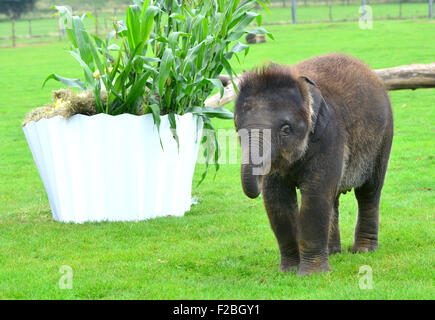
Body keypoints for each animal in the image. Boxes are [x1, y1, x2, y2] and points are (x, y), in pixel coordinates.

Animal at [235, 53, 396, 276]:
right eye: (237, 130)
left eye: (286, 129)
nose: (257, 180)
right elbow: (277, 198)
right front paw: (289, 271)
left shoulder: (329, 135)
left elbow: (315, 194)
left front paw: (311, 274)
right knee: (334, 197)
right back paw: (333, 252)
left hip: (383, 138)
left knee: (369, 192)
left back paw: (363, 250)